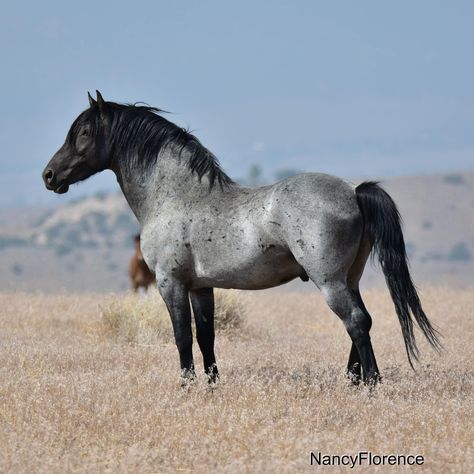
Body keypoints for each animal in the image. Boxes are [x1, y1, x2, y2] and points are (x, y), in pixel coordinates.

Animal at [41, 92, 440, 386]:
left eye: (83, 133)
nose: (49, 175)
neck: (176, 196)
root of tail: (354, 192)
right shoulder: (201, 287)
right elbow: (206, 336)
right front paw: (212, 385)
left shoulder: (170, 283)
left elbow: (181, 336)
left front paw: (186, 386)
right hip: (349, 279)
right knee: (363, 320)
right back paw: (353, 381)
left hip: (329, 281)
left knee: (355, 321)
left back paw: (371, 383)